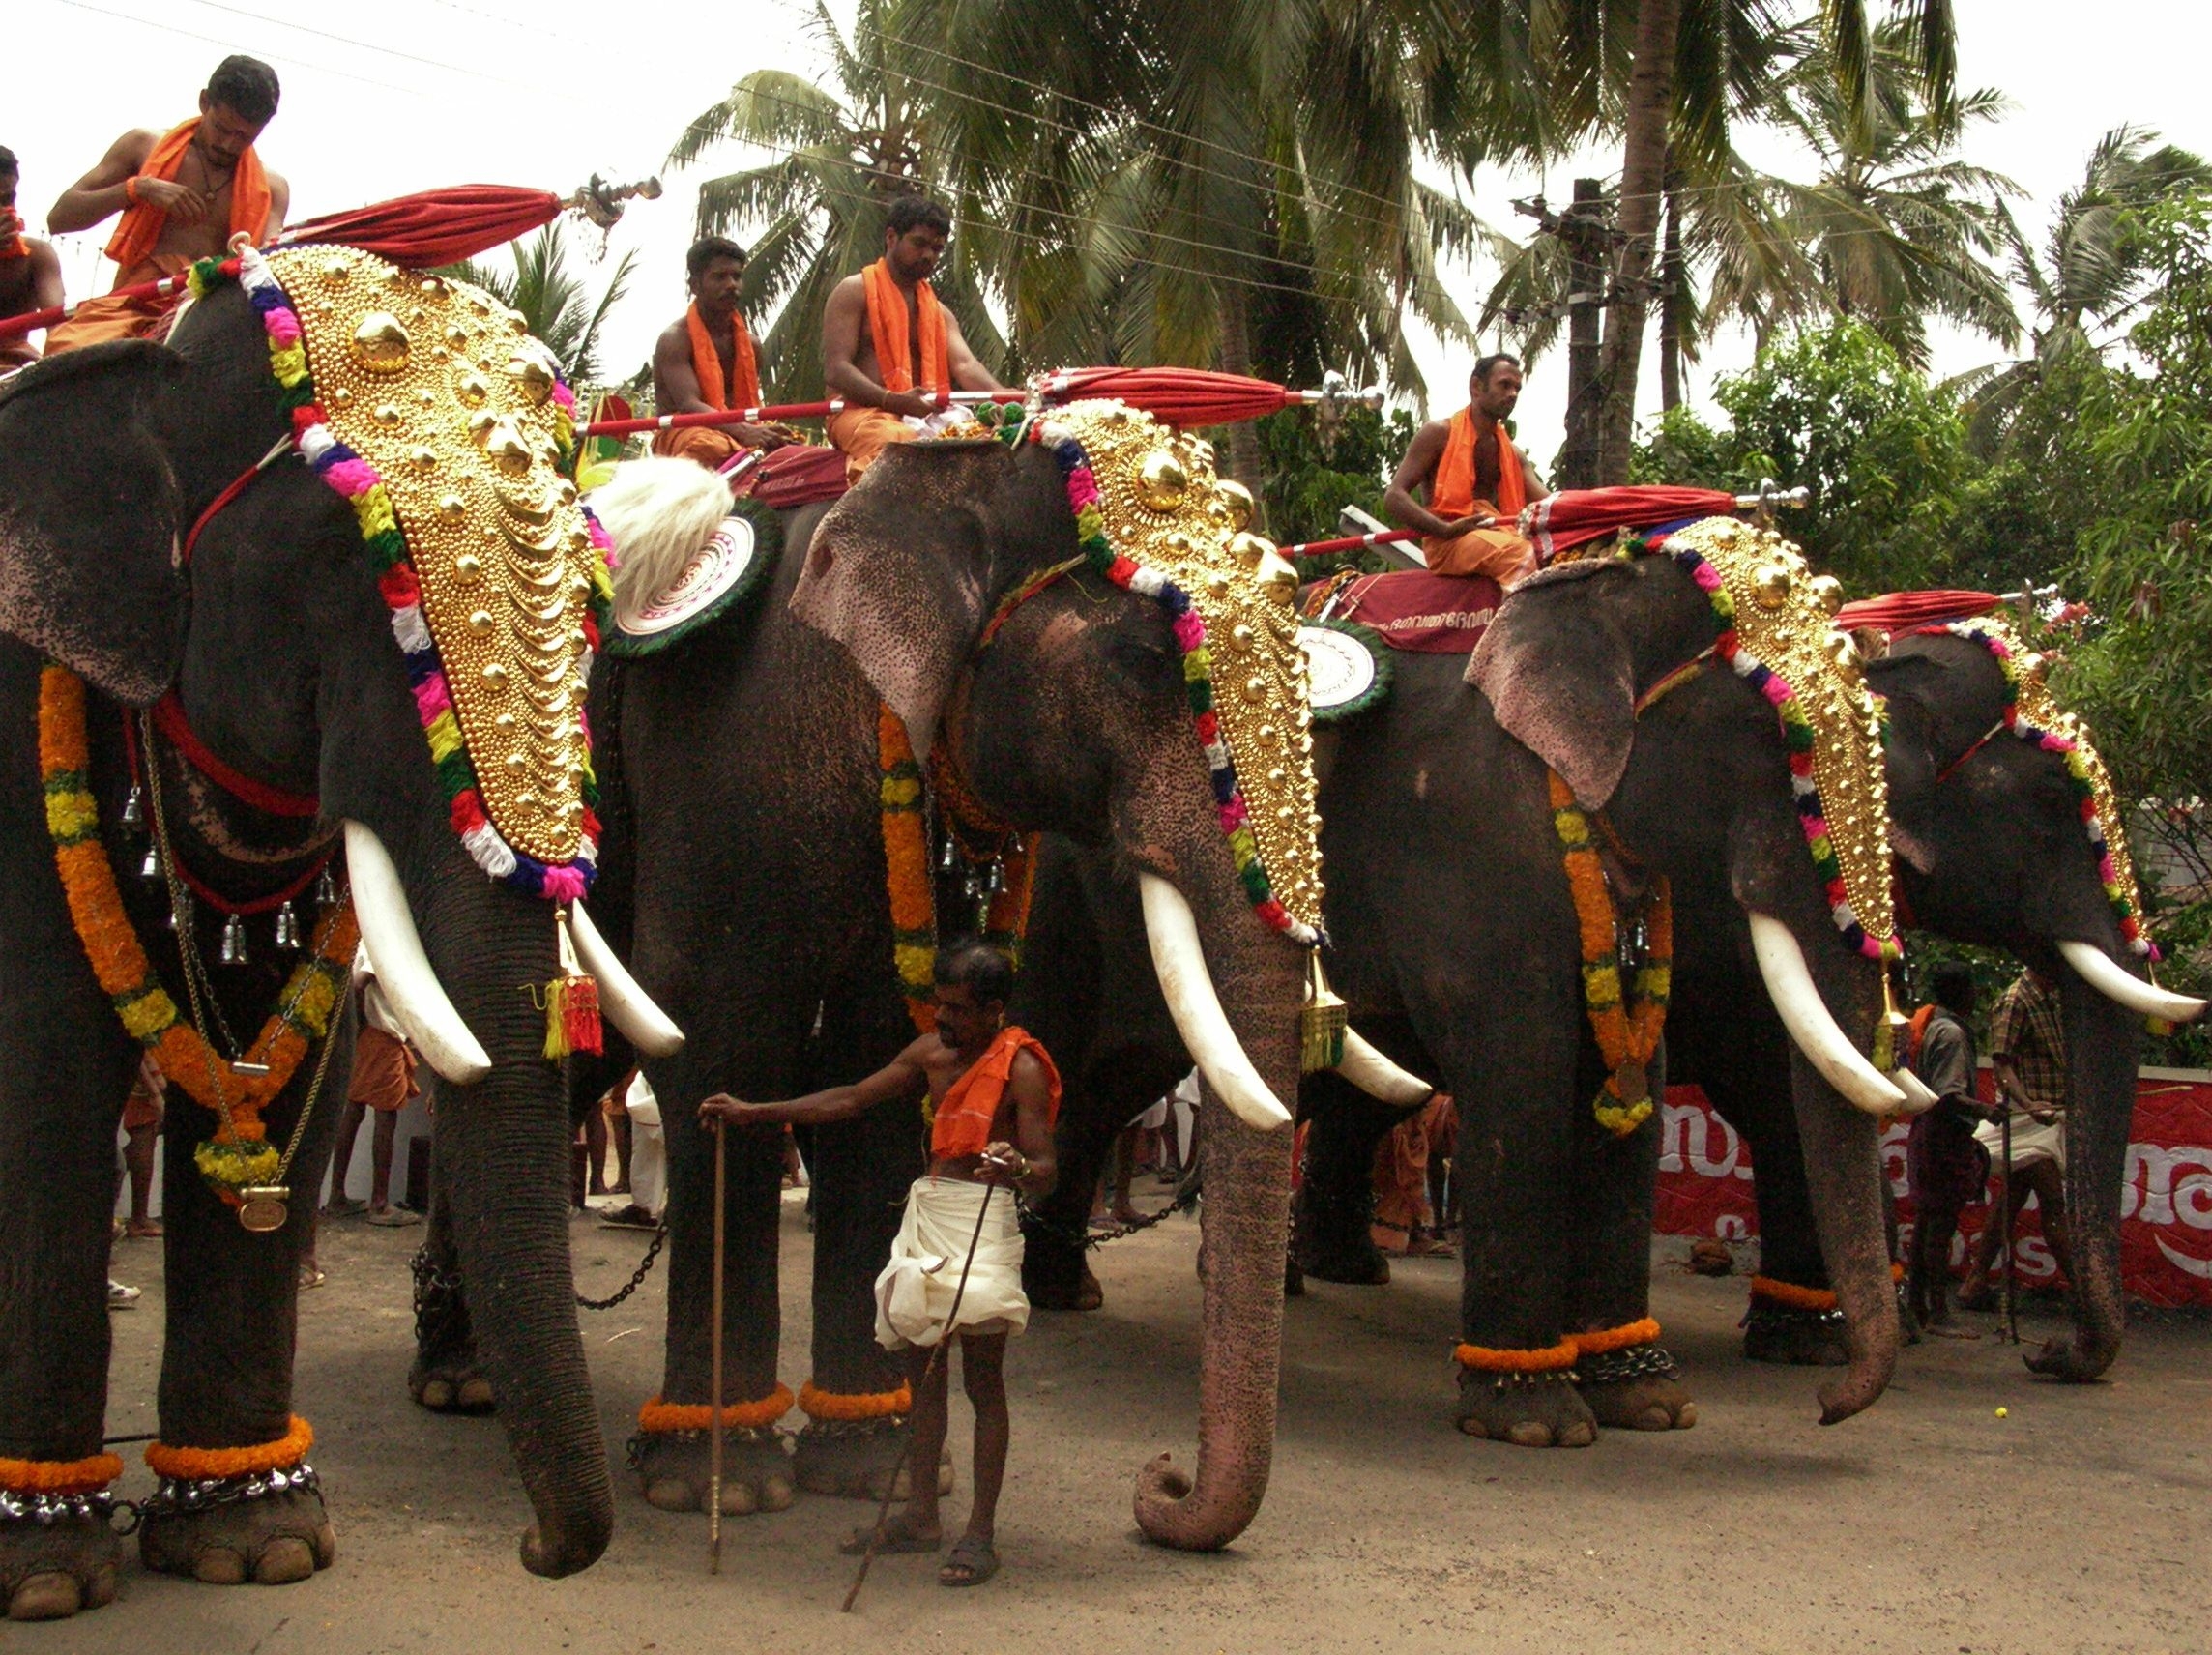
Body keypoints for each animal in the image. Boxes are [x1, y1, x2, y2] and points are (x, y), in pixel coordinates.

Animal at [0, 246, 685, 1619]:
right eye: (343, 571)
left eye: (594, 595)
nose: (535, 1552)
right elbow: (47, 1075)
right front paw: (45, 1571)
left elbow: (286, 1082)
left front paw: (253, 1540)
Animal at [1022, 526, 1919, 1451]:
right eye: (1786, 745)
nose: (1828, 1408)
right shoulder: (1470, 840)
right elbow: (1519, 1067)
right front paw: (1535, 1421)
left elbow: (1632, 1080)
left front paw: (1649, 1401)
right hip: (1071, 894)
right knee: (1085, 1057)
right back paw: (1057, 1293)